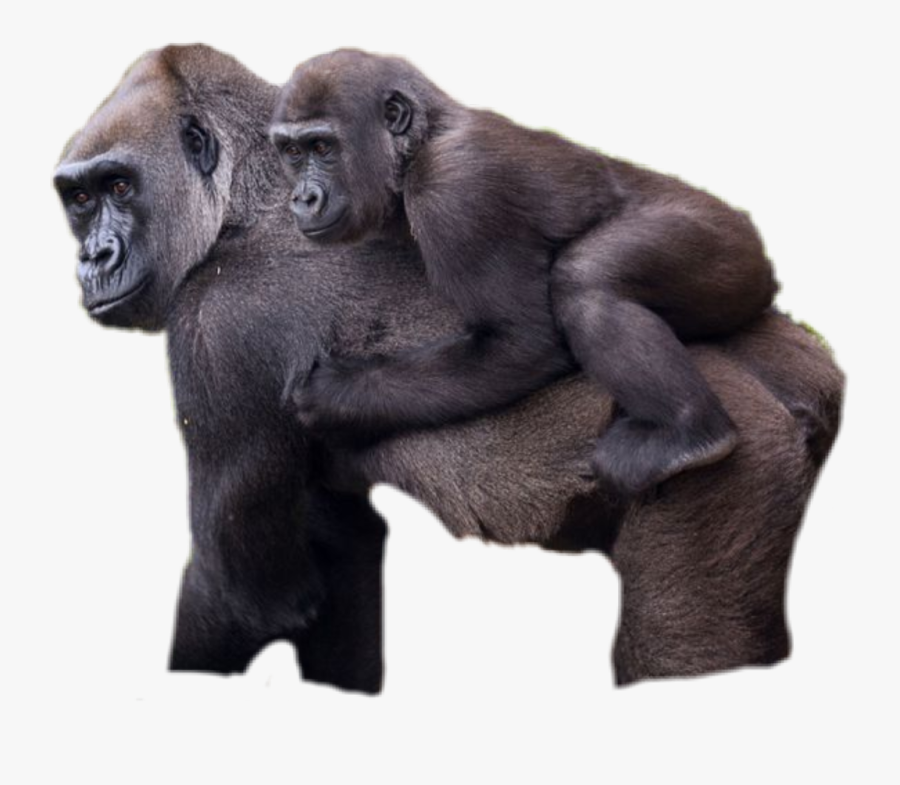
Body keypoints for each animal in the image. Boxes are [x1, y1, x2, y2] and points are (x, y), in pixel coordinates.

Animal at [270, 49, 778, 495]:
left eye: (322, 146)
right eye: (292, 153)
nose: (302, 199)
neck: (422, 142)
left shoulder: (457, 189)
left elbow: (519, 343)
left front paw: (339, 397)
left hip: (732, 251)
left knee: (587, 279)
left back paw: (691, 433)